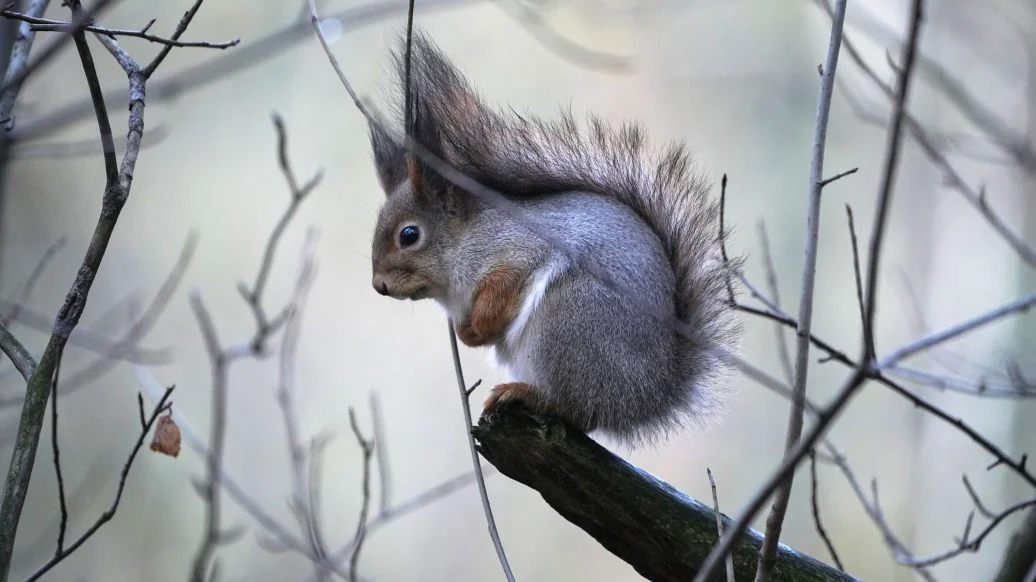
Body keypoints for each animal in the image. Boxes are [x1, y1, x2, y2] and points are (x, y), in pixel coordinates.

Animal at [368, 29, 741, 443]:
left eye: (409, 235)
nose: (378, 285)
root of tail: (647, 398)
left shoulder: (520, 250)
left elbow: (505, 285)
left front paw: (479, 323)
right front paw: (467, 334)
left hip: (568, 320)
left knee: (578, 411)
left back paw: (524, 392)